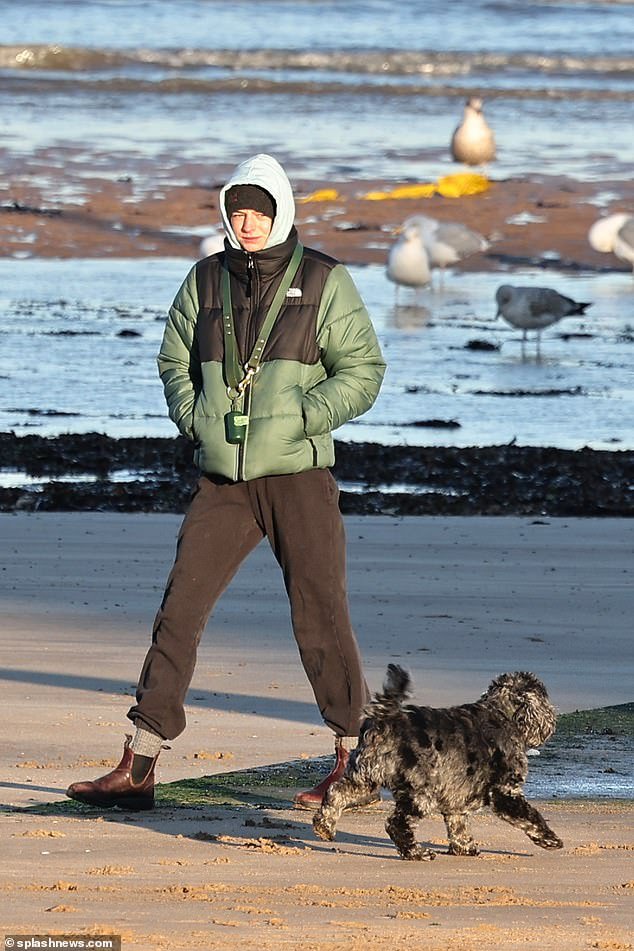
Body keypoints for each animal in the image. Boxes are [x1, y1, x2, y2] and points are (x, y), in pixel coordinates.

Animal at [314, 664, 560, 860]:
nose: (552, 717)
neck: (499, 713)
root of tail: (385, 720)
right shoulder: (506, 792)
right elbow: (530, 816)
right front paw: (550, 839)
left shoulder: (457, 797)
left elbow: (458, 824)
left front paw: (464, 847)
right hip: (420, 793)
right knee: (397, 824)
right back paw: (417, 853)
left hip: (363, 778)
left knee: (336, 793)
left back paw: (325, 827)